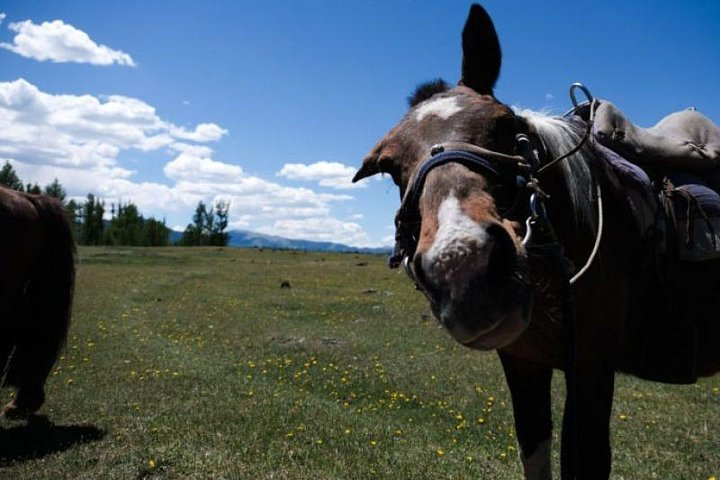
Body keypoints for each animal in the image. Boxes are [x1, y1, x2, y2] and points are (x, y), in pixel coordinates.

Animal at [353, 5, 720, 479]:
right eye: (392, 167)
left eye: (505, 124)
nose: (463, 265)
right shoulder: (523, 362)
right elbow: (534, 450)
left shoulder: (592, 365)